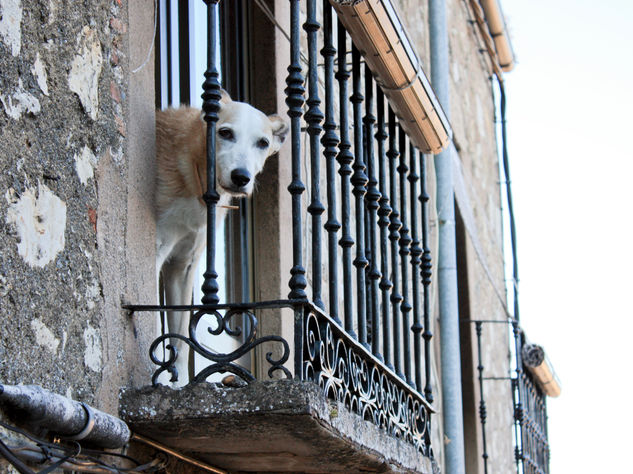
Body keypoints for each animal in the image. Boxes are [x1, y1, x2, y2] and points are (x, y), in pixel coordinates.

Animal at [156, 90, 288, 386]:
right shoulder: (156, 249)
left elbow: (179, 339)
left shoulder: (182, 265)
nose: (242, 177)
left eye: (262, 143)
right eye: (225, 132)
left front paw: (178, 383)